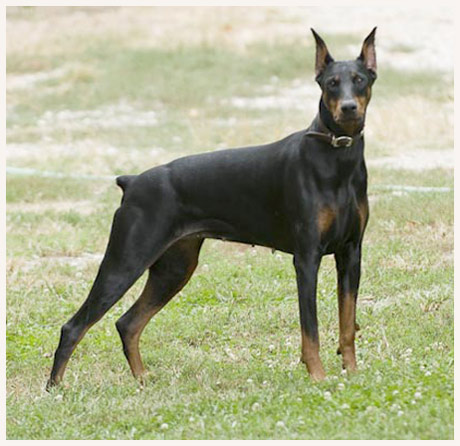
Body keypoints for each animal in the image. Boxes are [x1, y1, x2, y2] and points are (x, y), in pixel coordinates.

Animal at [46, 27, 378, 388]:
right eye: (331, 83)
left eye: (359, 80)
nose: (348, 108)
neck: (337, 156)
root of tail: (131, 183)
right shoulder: (307, 258)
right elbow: (310, 330)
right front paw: (318, 377)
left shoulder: (351, 252)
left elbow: (347, 322)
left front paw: (353, 373)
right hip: (126, 261)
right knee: (74, 326)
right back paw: (56, 390)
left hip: (175, 267)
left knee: (128, 323)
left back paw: (142, 379)